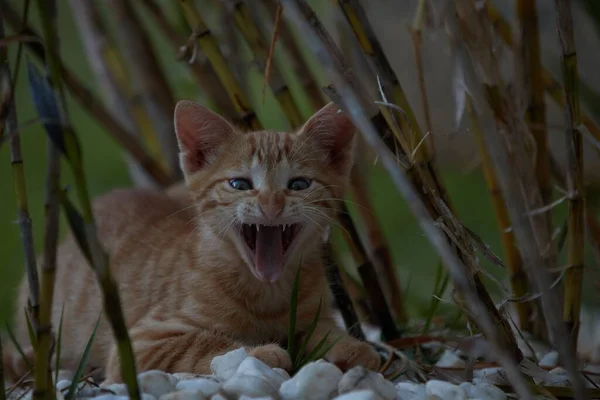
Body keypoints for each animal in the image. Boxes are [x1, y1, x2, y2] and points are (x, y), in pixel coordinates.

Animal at [3, 100, 380, 382]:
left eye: (299, 184)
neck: (267, 295)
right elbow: (206, 345)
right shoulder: (139, 343)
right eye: (240, 184)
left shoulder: (316, 315)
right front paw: (260, 352)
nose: (272, 203)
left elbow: (327, 333)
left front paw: (353, 347)